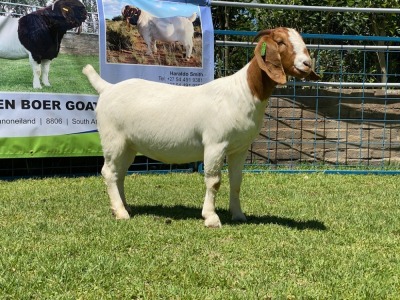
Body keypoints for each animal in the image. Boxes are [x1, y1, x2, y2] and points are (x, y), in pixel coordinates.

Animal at [83, 27, 320, 227]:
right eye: (280, 41)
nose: (307, 64)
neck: (243, 91)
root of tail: (107, 88)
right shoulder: (216, 143)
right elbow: (214, 181)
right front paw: (211, 217)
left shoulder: (240, 148)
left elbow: (236, 181)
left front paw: (238, 215)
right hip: (113, 138)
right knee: (108, 172)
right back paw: (121, 212)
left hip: (129, 145)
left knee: (119, 173)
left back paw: (123, 207)